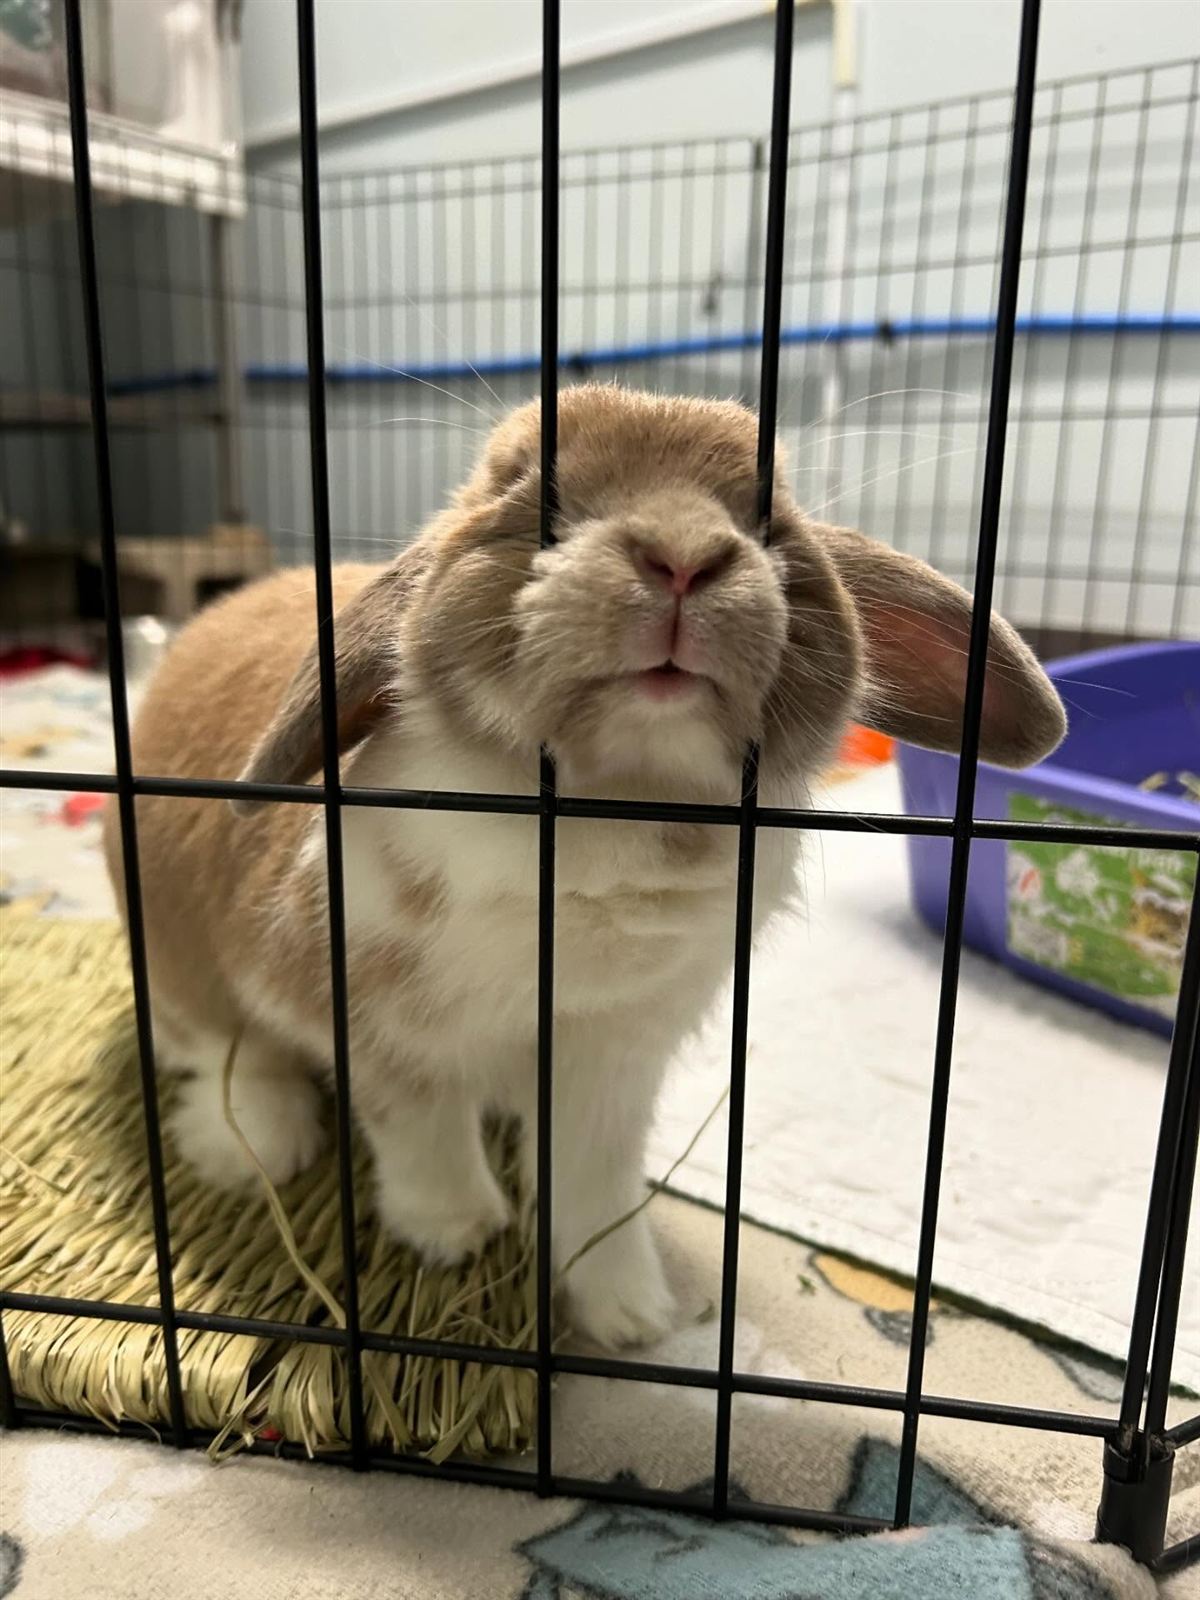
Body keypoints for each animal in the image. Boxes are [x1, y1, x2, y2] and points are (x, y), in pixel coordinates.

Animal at [103, 384, 1066, 1349]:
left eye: (772, 519)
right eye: (530, 491)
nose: (683, 558)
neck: (613, 802)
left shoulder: (613, 1059)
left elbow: (594, 1182)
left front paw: (632, 1313)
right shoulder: (381, 1029)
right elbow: (421, 1127)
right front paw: (455, 1233)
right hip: (175, 958)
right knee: (223, 1050)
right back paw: (254, 1146)